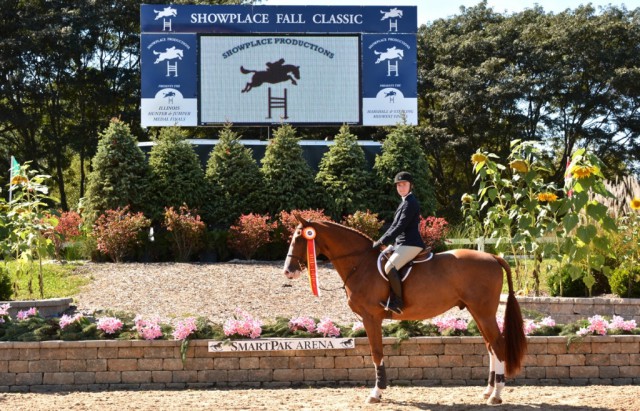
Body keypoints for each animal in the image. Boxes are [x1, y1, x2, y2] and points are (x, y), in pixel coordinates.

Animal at [282, 217, 528, 408]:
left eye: (300, 238)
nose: (288, 272)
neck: (360, 264)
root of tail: (493, 257)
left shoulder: (371, 318)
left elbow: (376, 353)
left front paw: (376, 393)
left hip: (483, 313)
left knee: (498, 345)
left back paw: (496, 396)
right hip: (477, 312)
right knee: (491, 347)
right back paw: (487, 392)